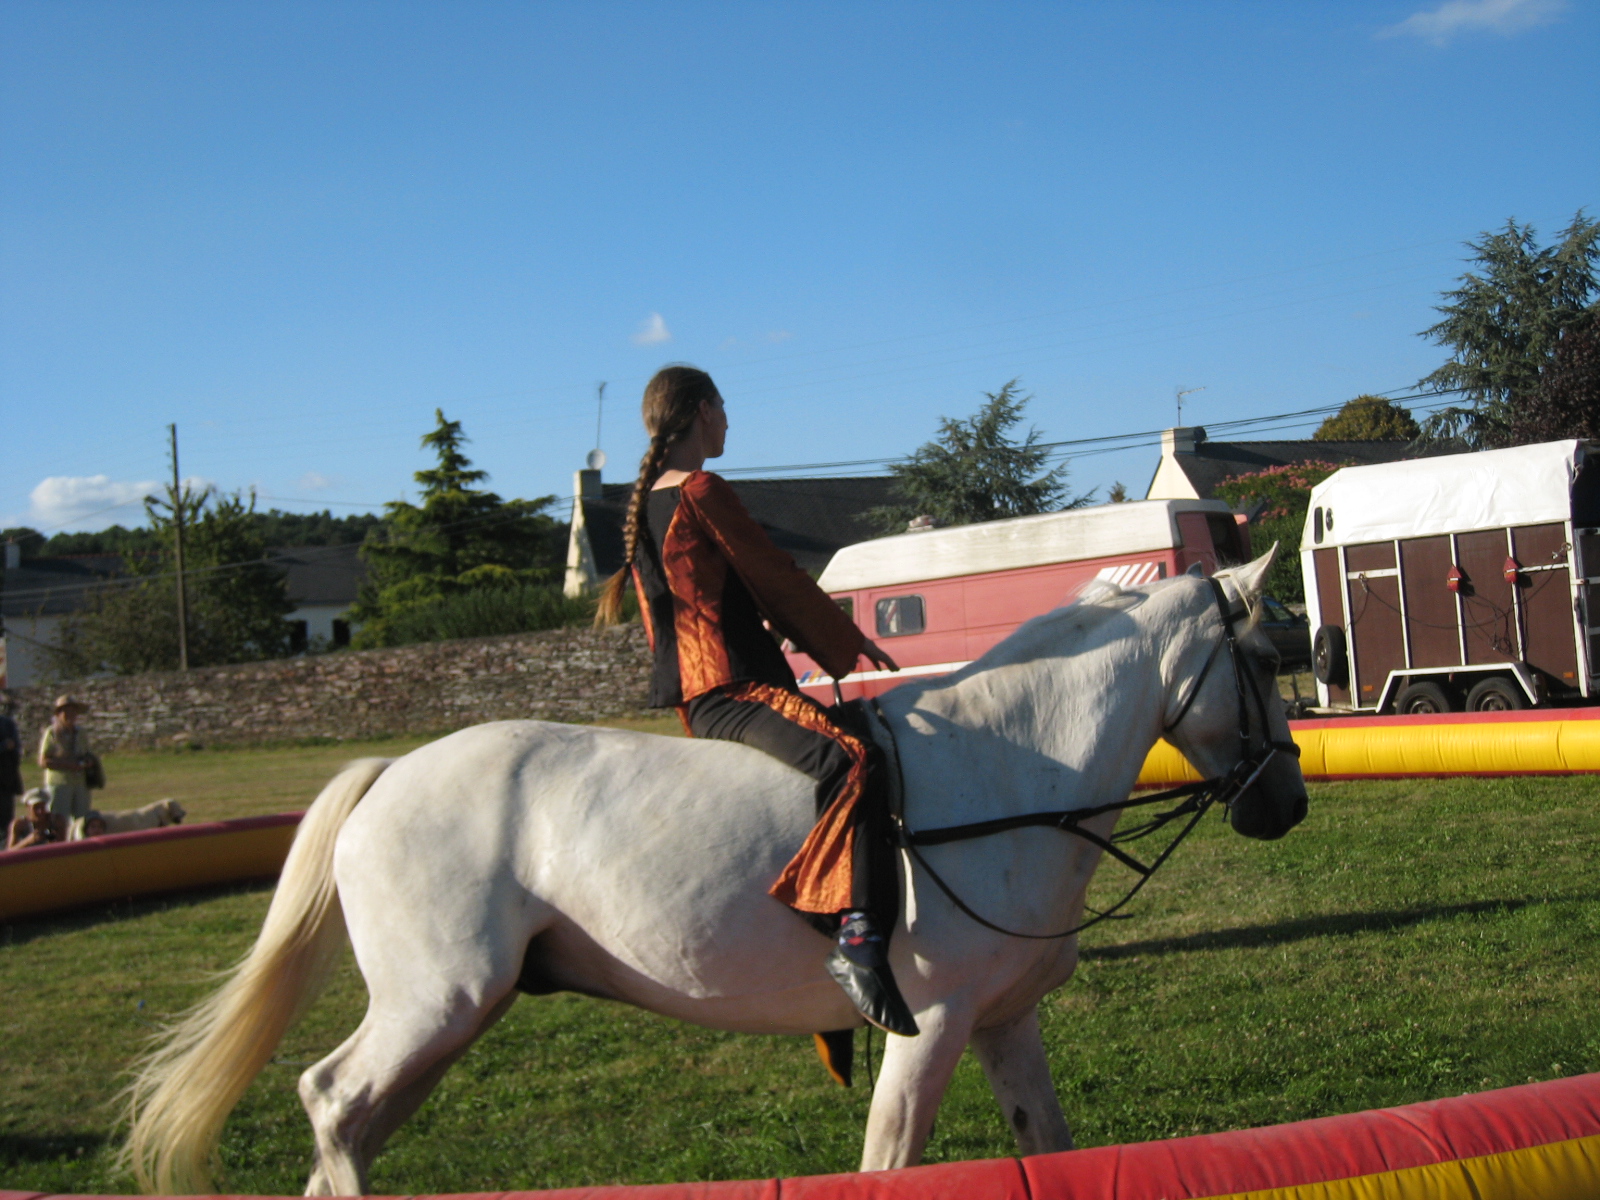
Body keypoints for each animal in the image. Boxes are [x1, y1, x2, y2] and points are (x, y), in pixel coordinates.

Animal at [124, 550, 1307, 1195]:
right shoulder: (931, 1026)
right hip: (435, 1002)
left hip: (449, 1018)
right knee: (331, 1101)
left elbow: (1047, 1149)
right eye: (1261, 658)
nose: (1286, 803)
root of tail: (388, 778)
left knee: (349, 1125)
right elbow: (889, 1161)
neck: (1013, 769)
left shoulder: (1006, 1021)